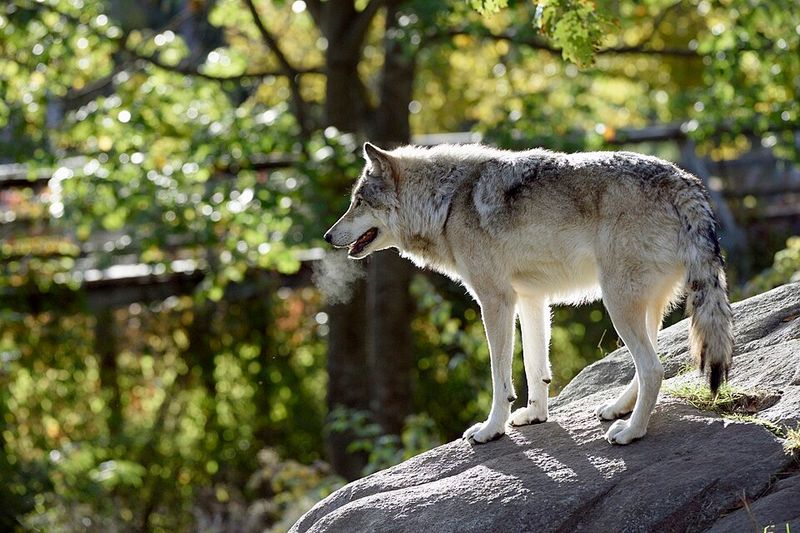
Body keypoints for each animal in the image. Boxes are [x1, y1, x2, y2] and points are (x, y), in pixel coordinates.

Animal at [324, 142, 733, 445]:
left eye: (359, 202)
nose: (328, 236)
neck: (447, 203)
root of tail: (685, 180)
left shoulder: (495, 301)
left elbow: (500, 376)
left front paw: (491, 429)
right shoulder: (532, 299)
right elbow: (535, 368)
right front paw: (535, 416)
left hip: (617, 304)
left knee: (653, 369)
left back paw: (631, 432)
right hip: (642, 307)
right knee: (651, 365)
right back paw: (617, 410)